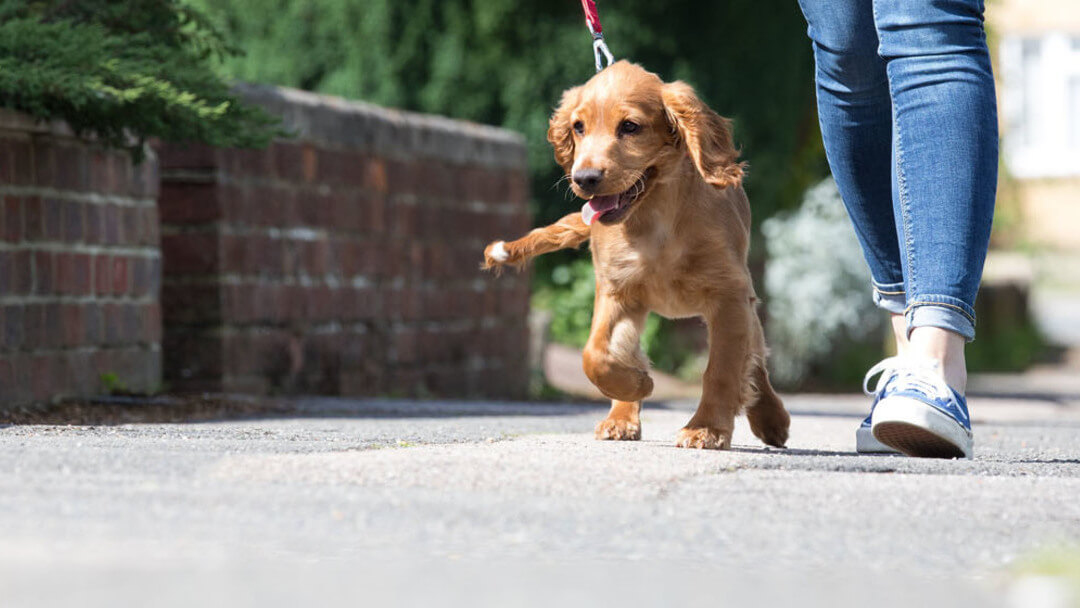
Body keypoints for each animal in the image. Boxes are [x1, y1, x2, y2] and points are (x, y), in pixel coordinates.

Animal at [486, 60, 790, 451]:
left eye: (630, 127)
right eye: (578, 126)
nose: (584, 178)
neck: (654, 217)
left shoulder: (730, 294)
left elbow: (722, 369)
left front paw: (706, 429)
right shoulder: (617, 289)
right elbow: (594, 354)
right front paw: (639, 384)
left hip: (745, 304)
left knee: (755, 360)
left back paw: (771, 418)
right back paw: (621, 417)